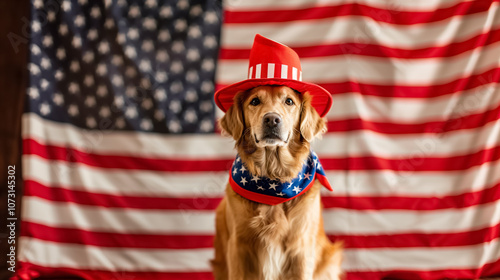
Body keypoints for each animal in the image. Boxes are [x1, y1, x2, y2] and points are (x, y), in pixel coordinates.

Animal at [211, 86, 344, 280]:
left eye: (289, 101)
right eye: (255, 101)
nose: (272, 119)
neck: (273, 179)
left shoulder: (301, 250)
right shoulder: (238, 249)